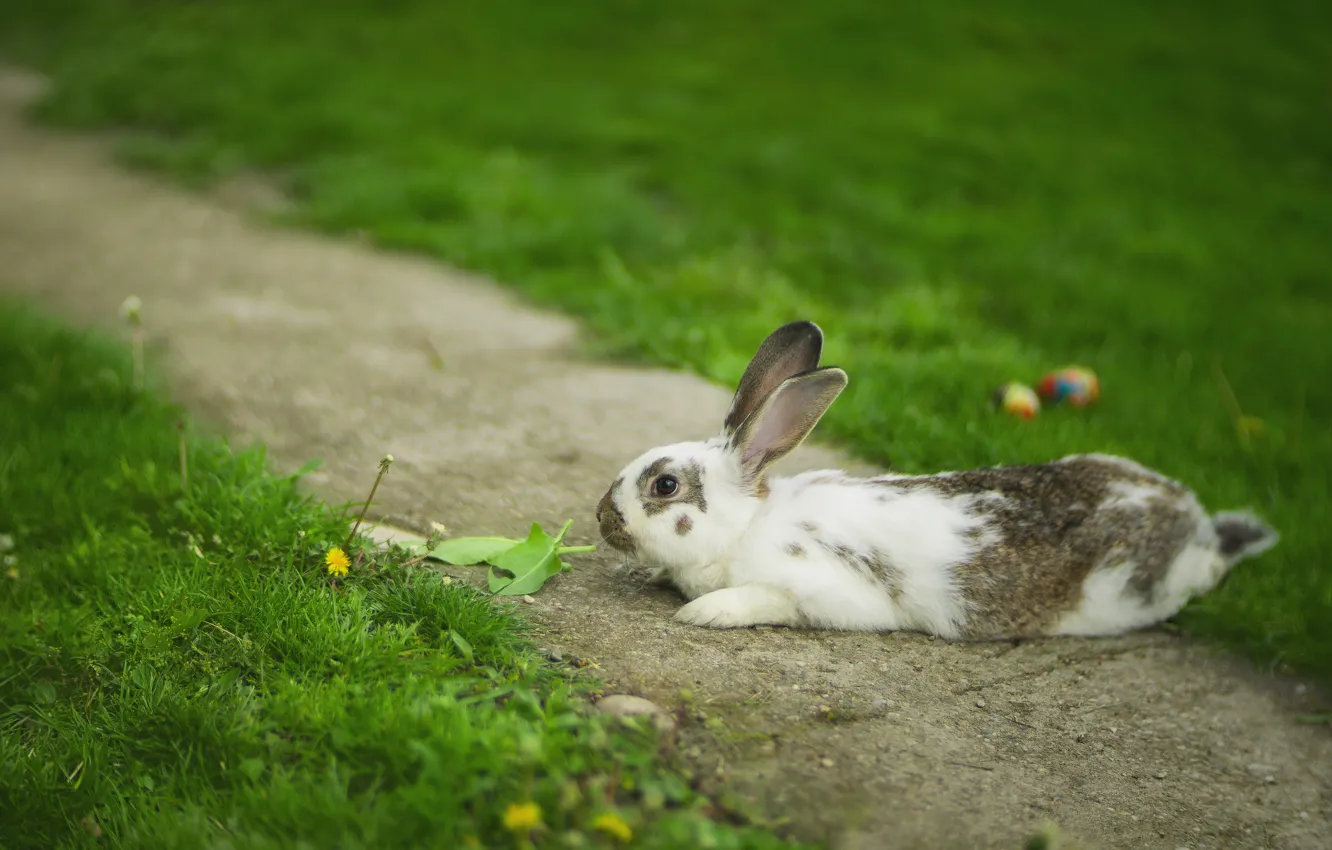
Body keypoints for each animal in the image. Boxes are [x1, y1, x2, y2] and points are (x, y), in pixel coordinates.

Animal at [595, 320, 1279, 639]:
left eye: (664, 487)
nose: (603, 518)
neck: (743, 528)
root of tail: (1194, 518)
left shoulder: (820, 590)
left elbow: (762, 599)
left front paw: (702, 613)